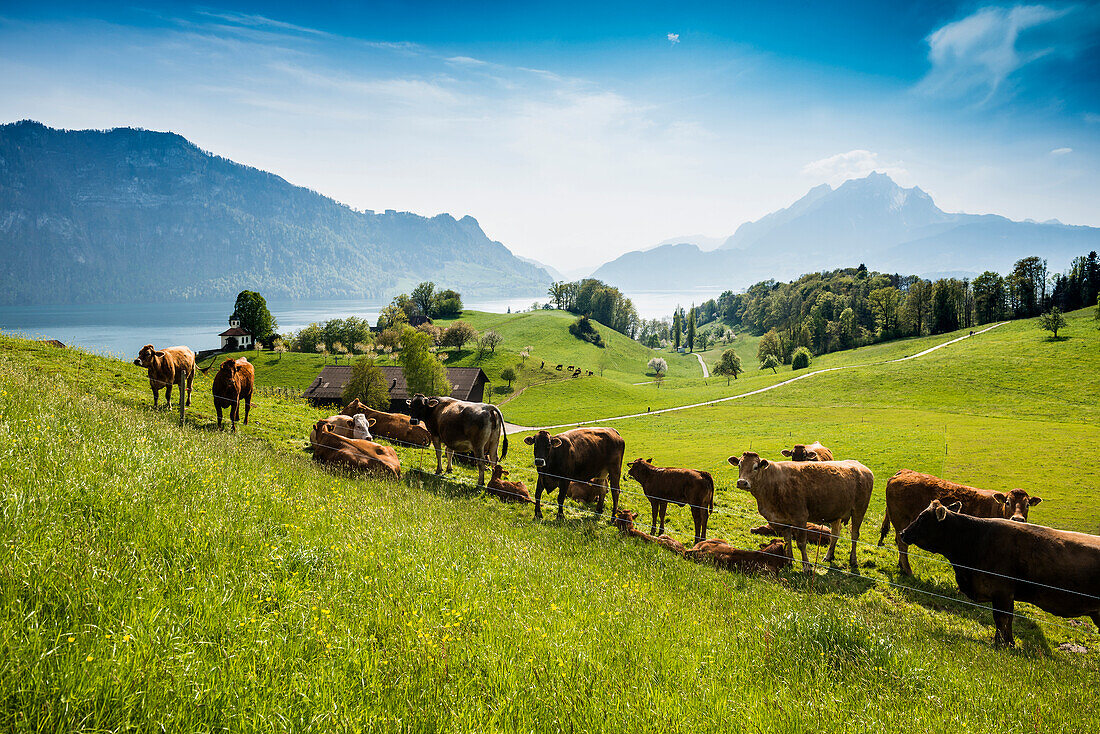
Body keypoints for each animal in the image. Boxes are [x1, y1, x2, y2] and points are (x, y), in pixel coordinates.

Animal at [726, 448, 871, 572]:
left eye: (755, 467)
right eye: (739, 465)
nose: (742, 482)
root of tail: (861, 466)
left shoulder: (800, 518)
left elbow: (801, 543)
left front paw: (806, 566)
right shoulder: (782, 520)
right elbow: (787, 540)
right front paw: (789, 561)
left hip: (859, 510)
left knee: (854, 535)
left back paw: (853, 560)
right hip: (836, 513)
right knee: (835, 534)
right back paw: (828, 556)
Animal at [875, 470, 1038, 581]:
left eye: (1027, 504)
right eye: (1008, 502)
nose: (1018, 519)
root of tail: (902, 473)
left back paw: (901, 566)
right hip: (902, 521)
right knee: (902, 544)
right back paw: (908, 571)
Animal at [902, 499, 1100, 647]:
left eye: (922, 518)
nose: (903, 533)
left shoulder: (1002, 592)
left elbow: (1001, 619)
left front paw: (1003, 645)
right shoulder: (1004, 594)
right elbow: (1005, 621)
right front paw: (1006, 643)